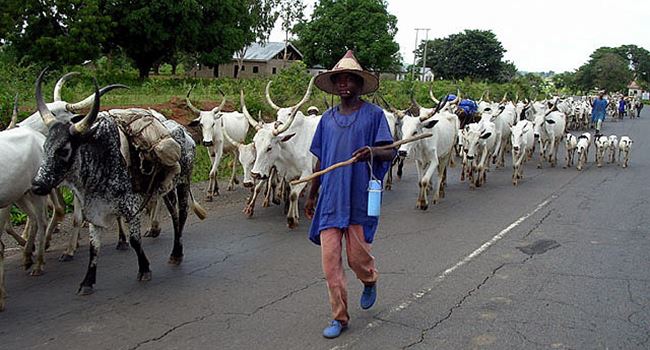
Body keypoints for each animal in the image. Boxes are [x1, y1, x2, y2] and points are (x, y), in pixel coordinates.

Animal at [29, 72, 202, 296]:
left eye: (64, 150)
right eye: (45, 146)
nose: (37, 185)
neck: (101, 160)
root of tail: (186, 133)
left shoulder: (131, 208)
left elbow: (135, 241)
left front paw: (144, 269)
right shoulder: (94, 211)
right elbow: (94, 247)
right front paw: (87, 282)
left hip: (183, 183)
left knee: (182, 214)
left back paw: (177, 253)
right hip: (166, 188)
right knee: (173, 215)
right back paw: (173, 250)